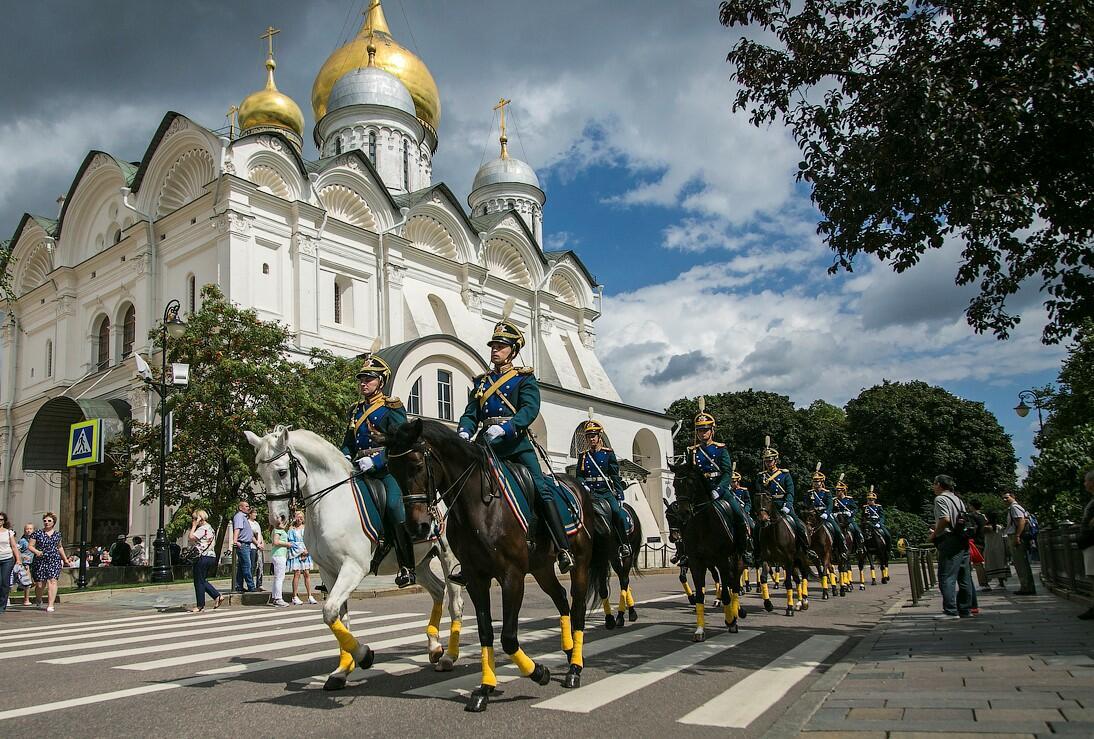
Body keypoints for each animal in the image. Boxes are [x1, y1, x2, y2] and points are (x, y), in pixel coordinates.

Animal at [246, 424, 463, 690]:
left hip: (448, 556)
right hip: (419, 562)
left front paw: (364, 655)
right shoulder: (329, 571)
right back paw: (434, 646)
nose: (278, 520)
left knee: (455, 601)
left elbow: (329, 611)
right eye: (260, 472)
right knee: (437, 590)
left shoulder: (353, 568)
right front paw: (342, 670)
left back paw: (449, 656)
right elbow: (340, 617)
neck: (330, 503)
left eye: (282, 471)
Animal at [382, 415, 608, 708]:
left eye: (417, 464)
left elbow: (509, 638)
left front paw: (539, 672)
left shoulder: (511, 576)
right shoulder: (475, 578)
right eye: (391, 470)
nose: (416, 528)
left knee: (577, 607)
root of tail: (577, 487)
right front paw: (485, 688)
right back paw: (569, 651)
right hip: (541, 567)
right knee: (560, 598)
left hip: (579, 563)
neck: (479, 506)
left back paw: (574, 668)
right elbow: (486, 632)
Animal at [665, 461, 743, 642]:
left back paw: (735, 611)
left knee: (734, 583)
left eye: (691, 483)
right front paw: (699, 628)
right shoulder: (693, 561)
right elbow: (698, 591)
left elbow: (727, 591)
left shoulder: (722, 559)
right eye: (675, 484)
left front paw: (731, 621)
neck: (702, 525)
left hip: (734, 559)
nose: (684, 513)